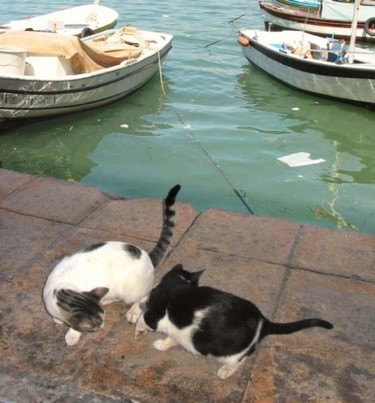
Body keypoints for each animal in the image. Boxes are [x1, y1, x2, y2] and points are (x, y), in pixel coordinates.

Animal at [42, 185, 181, 346]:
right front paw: (58, 321)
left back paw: (133, 311)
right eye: (97, 323)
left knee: (145, 294)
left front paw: (72, 334)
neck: (61, 288)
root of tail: (146, 255)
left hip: (132, 290)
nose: (102, 326)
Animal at [135, 266, 334, 378]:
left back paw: (226, 370)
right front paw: (163, 344)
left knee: (242, 360)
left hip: (229, 353)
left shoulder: (153, 315)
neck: (178, 284)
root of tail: (263, 321)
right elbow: (173, 337)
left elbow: (143, 319)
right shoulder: (180, 332)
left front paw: (138, 329)